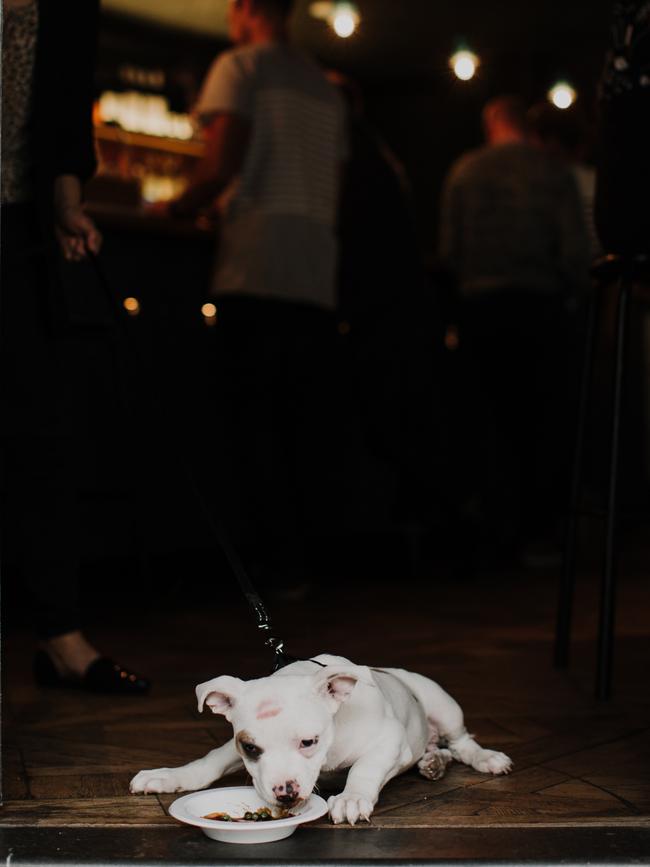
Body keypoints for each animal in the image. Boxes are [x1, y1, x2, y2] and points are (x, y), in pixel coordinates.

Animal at [129, 656, 508, 824]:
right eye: (251, 748)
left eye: (308, 742)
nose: (285, 793)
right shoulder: (235, 745)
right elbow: (210, 761)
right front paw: (168, 776)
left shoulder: (390, 740)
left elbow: (365, 769)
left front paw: (352, 798)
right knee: (441, 750)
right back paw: (431, 762)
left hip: (443, 706)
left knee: (461, 743)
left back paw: (485, 758)